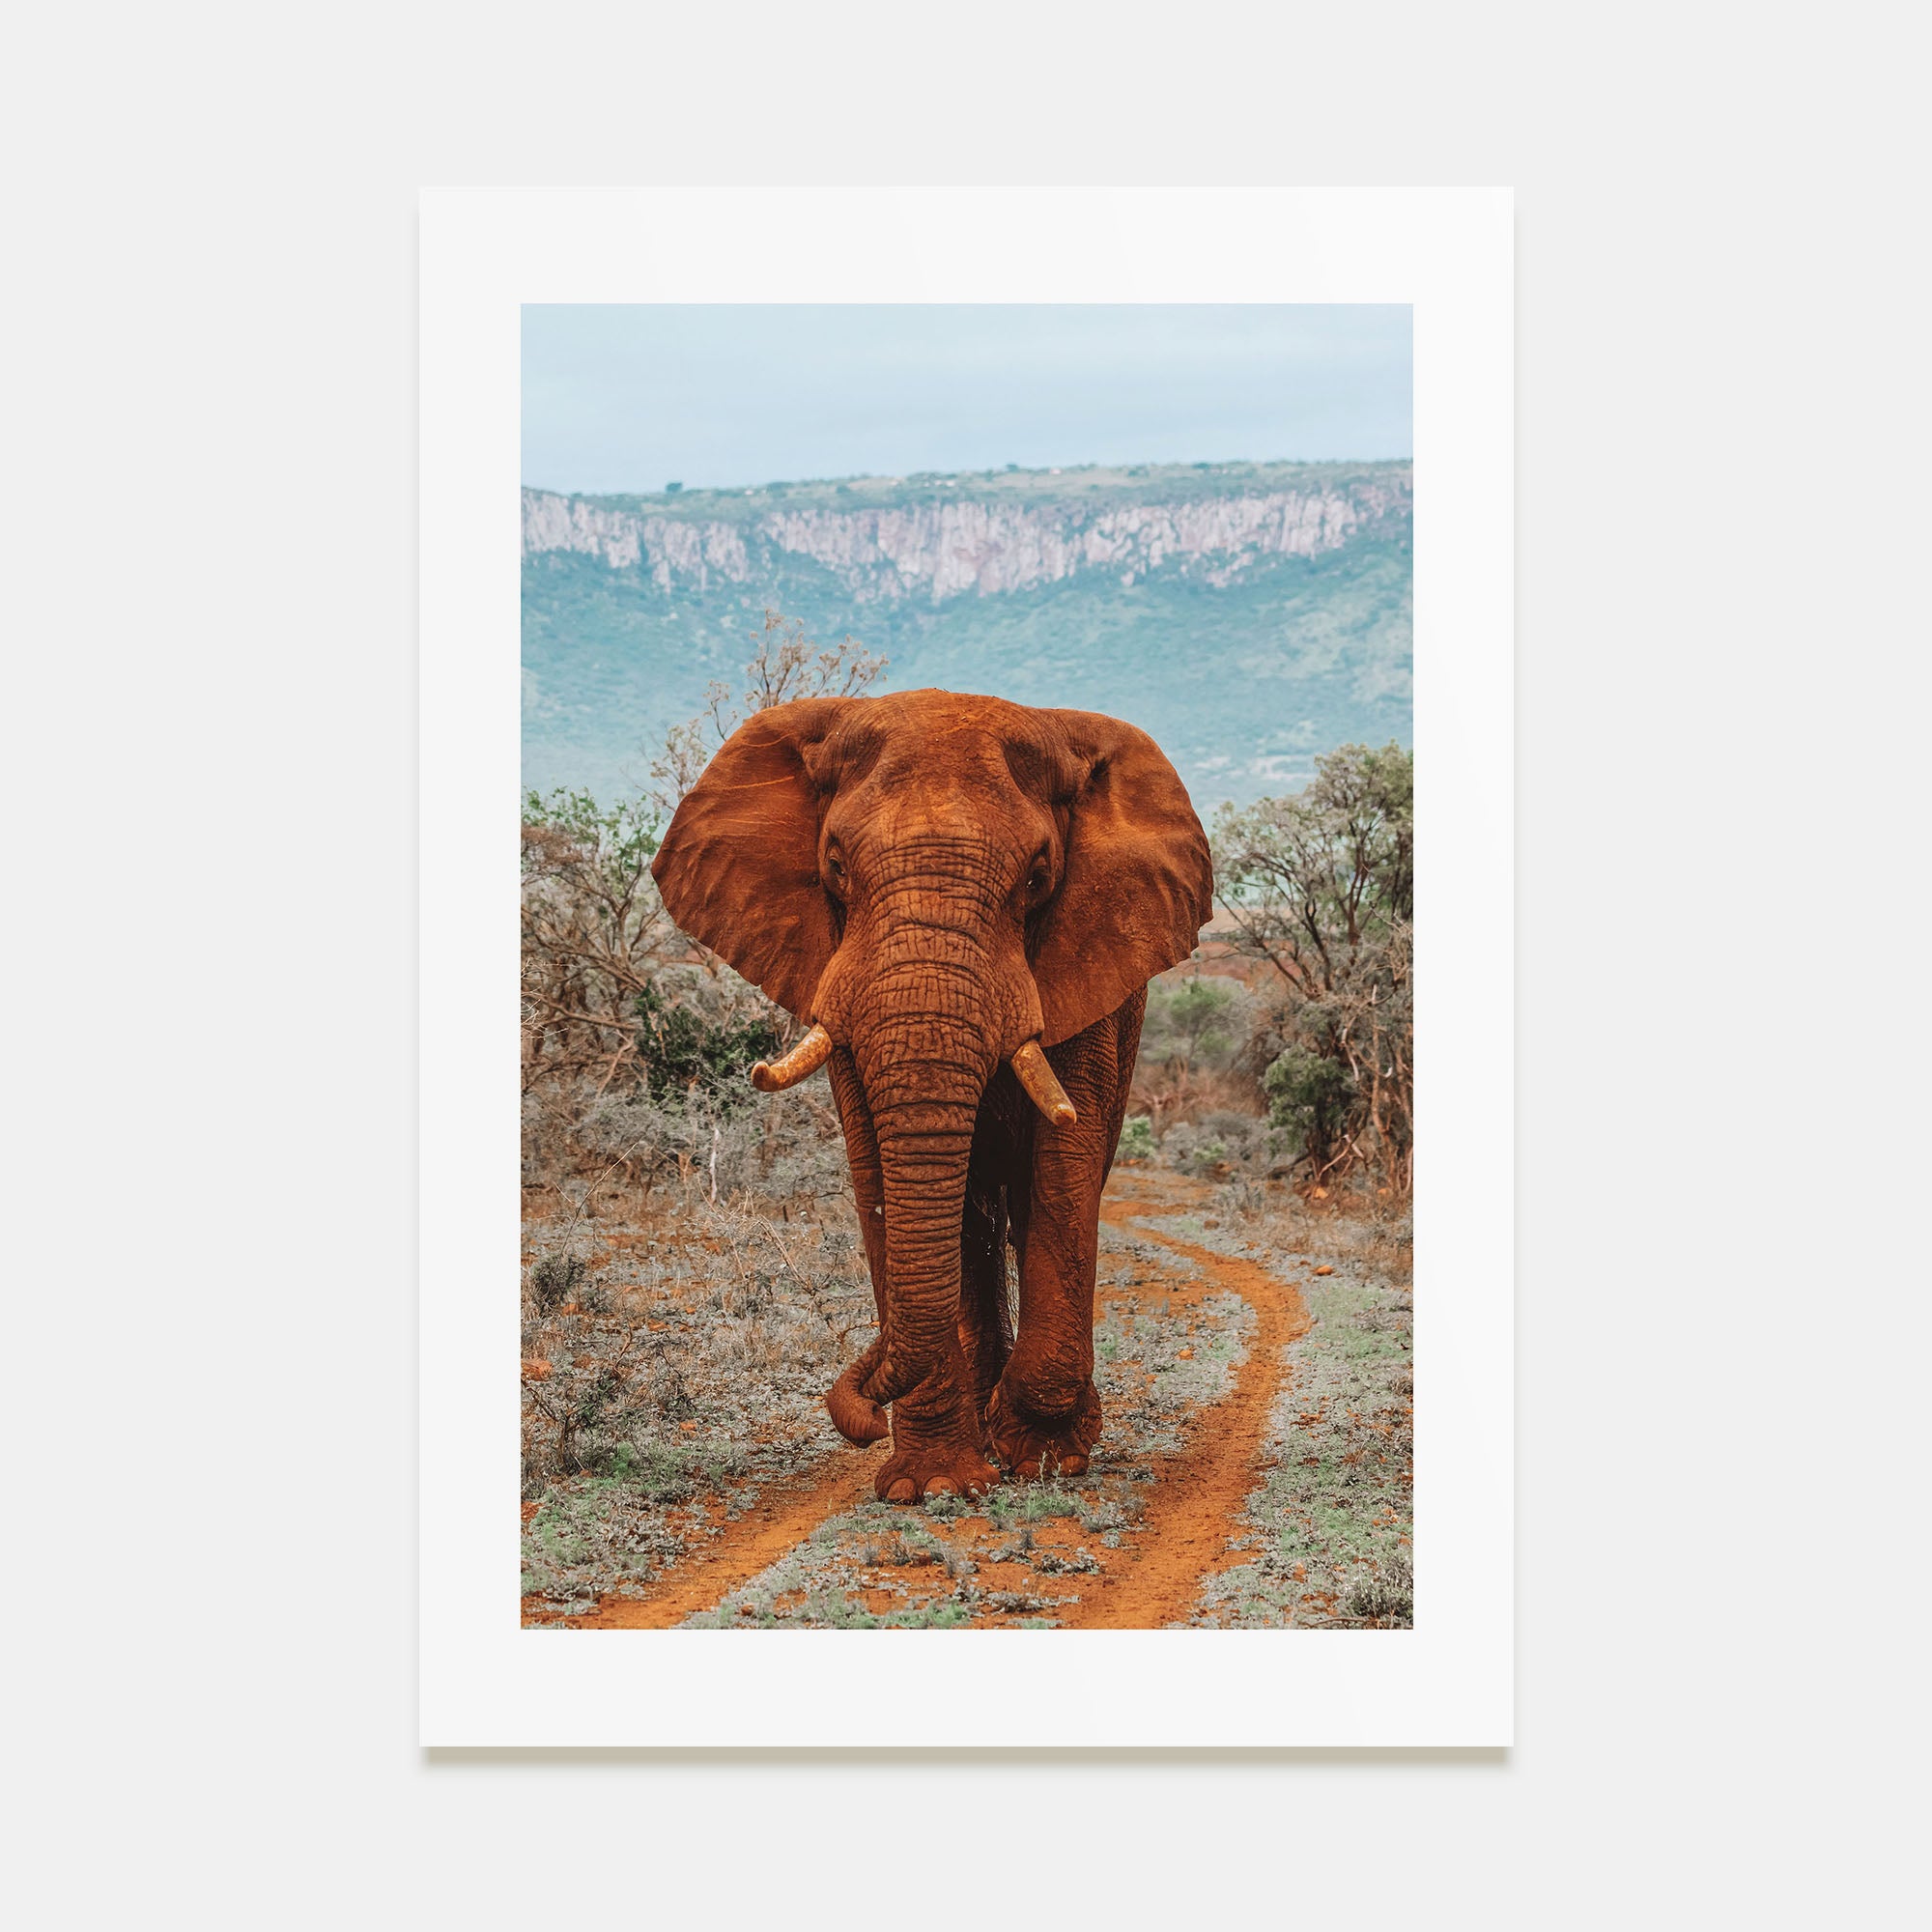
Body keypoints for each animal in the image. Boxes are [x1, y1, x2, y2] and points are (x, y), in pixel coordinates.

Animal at [650, 688, 1213, 1501]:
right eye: (833, 864)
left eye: (1039, 876)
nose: (857, 1416)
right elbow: (875, 1171)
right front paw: (936, 1486)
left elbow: (1066, 1162)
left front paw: (1045, 1459)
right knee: (972, 1226)